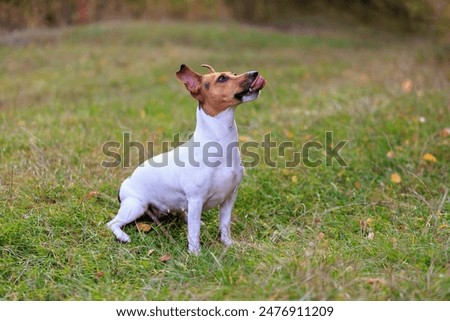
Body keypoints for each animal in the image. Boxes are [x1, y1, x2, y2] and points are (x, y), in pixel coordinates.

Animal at [107, 63, 266, 252]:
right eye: (222, 79)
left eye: (233, 73)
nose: (255, 73)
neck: (220, 145)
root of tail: (125, 182)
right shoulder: (196, 199)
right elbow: (194, 231)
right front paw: (195, 253)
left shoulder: (229, 197)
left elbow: (224, 224)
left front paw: (228, 244)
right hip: (136, 206)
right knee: (112, 223)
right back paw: (122, 236)